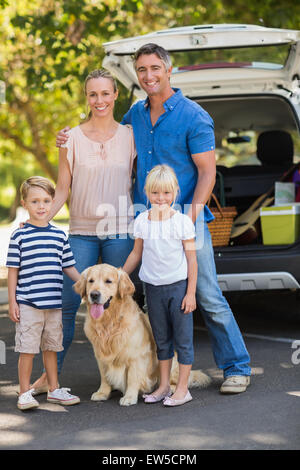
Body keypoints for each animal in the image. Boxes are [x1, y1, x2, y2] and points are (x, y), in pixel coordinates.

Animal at [74, 262, 211, 406]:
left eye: (108, 281)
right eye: (91, 281)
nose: (94, 295)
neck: (110, 322)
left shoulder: (136, 356)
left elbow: (132, 378)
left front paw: (129, 397)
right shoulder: (100, 355)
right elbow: (104, 376)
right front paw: (102, 393)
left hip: (172, 366)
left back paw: (173, 390)